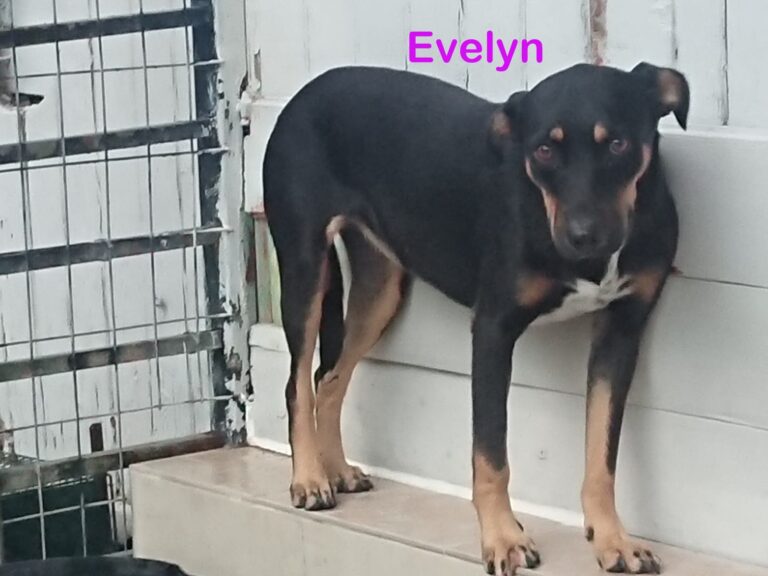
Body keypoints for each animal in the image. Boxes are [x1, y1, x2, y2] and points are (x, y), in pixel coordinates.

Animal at [263, 62, 687, 575]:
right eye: (544, 149)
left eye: (618, 143)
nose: (583, 237)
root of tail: (306, 90)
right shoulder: (492, 330)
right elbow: (490, 454)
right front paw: (503, 539)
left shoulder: (621, 330)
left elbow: (602, 453)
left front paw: (612, 539)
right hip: (304, 267)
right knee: (298, 383)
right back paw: (309, 478)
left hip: (380, 288)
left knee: (330, 378)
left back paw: (339, 470)